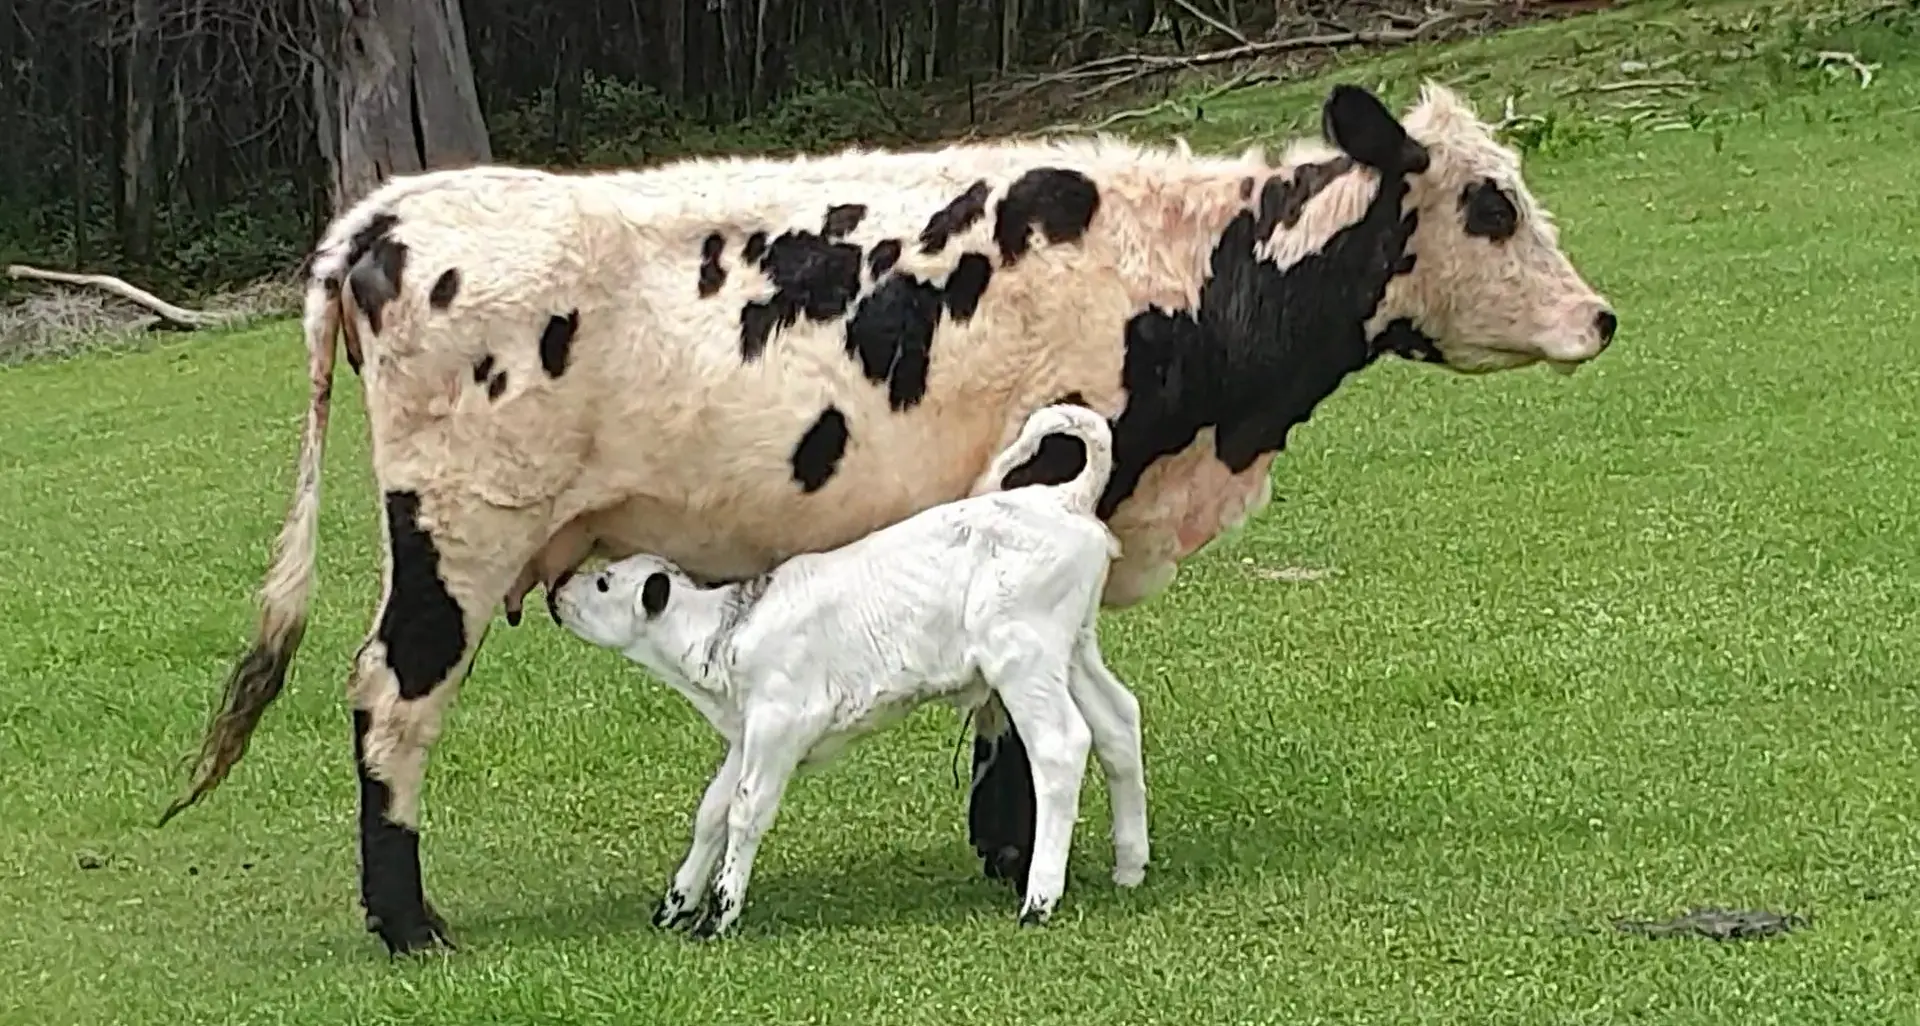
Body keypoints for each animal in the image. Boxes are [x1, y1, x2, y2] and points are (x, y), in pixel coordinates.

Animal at [156, 82, 1618, 955]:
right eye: (1492, 201)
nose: (1601, 316)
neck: (1190, 284)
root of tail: (389, 214)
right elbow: (1015, 715)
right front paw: (1017, 846)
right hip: (455, 538)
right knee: (392, 698)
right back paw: (409, 922)